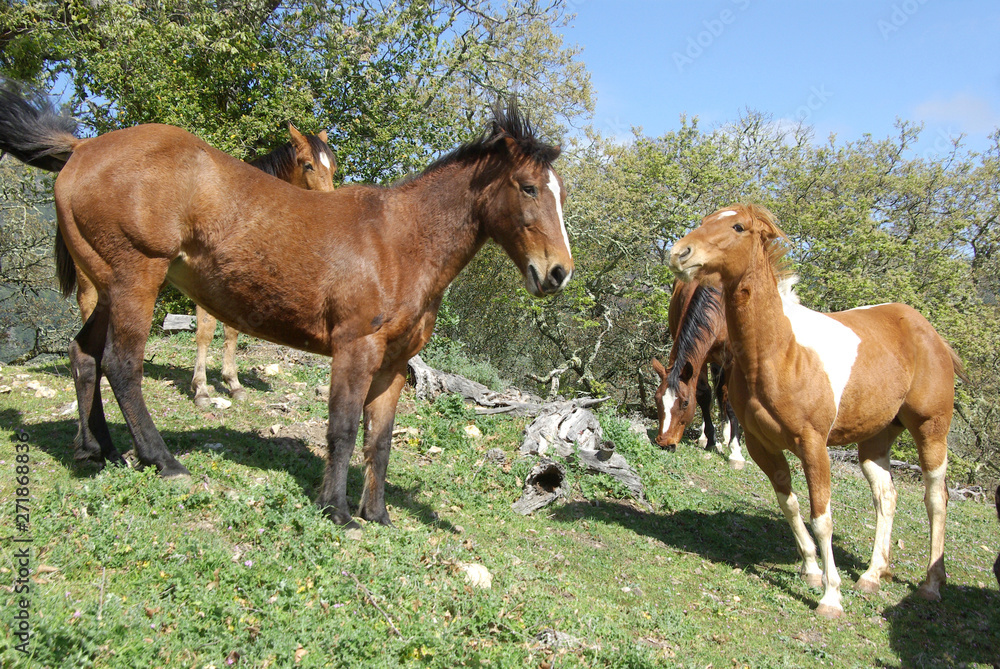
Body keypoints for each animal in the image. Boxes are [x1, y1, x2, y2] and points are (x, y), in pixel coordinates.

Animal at [70, 124, 338, 407]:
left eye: (332, 166)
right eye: (308, 165)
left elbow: (231, 332)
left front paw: (233, 383)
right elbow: (205, 332)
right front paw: (201, 389)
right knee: (87, 305)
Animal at [651, 279, 744, 468]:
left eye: (685, 403)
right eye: (657, 399)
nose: (664, 443)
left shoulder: (732, 360)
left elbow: (730, 402)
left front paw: (735, 451)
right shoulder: (699, 359)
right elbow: (703, 395)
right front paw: (711, 440)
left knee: (724, 393)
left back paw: (727, 437)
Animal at [668, 203, 965, 617]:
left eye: (738, 227)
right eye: (705, 220)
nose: (680, 254)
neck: (778, 351)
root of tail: (931, 333)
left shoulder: (813, 446)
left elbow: (821, 517)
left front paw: (830, 596)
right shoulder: (763, 445)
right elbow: (789, 504)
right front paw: (811, 569)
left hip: (931, 430)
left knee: (936, 498)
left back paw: (931, 584)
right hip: (875, 440)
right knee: (886, 496)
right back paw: (872, 575)